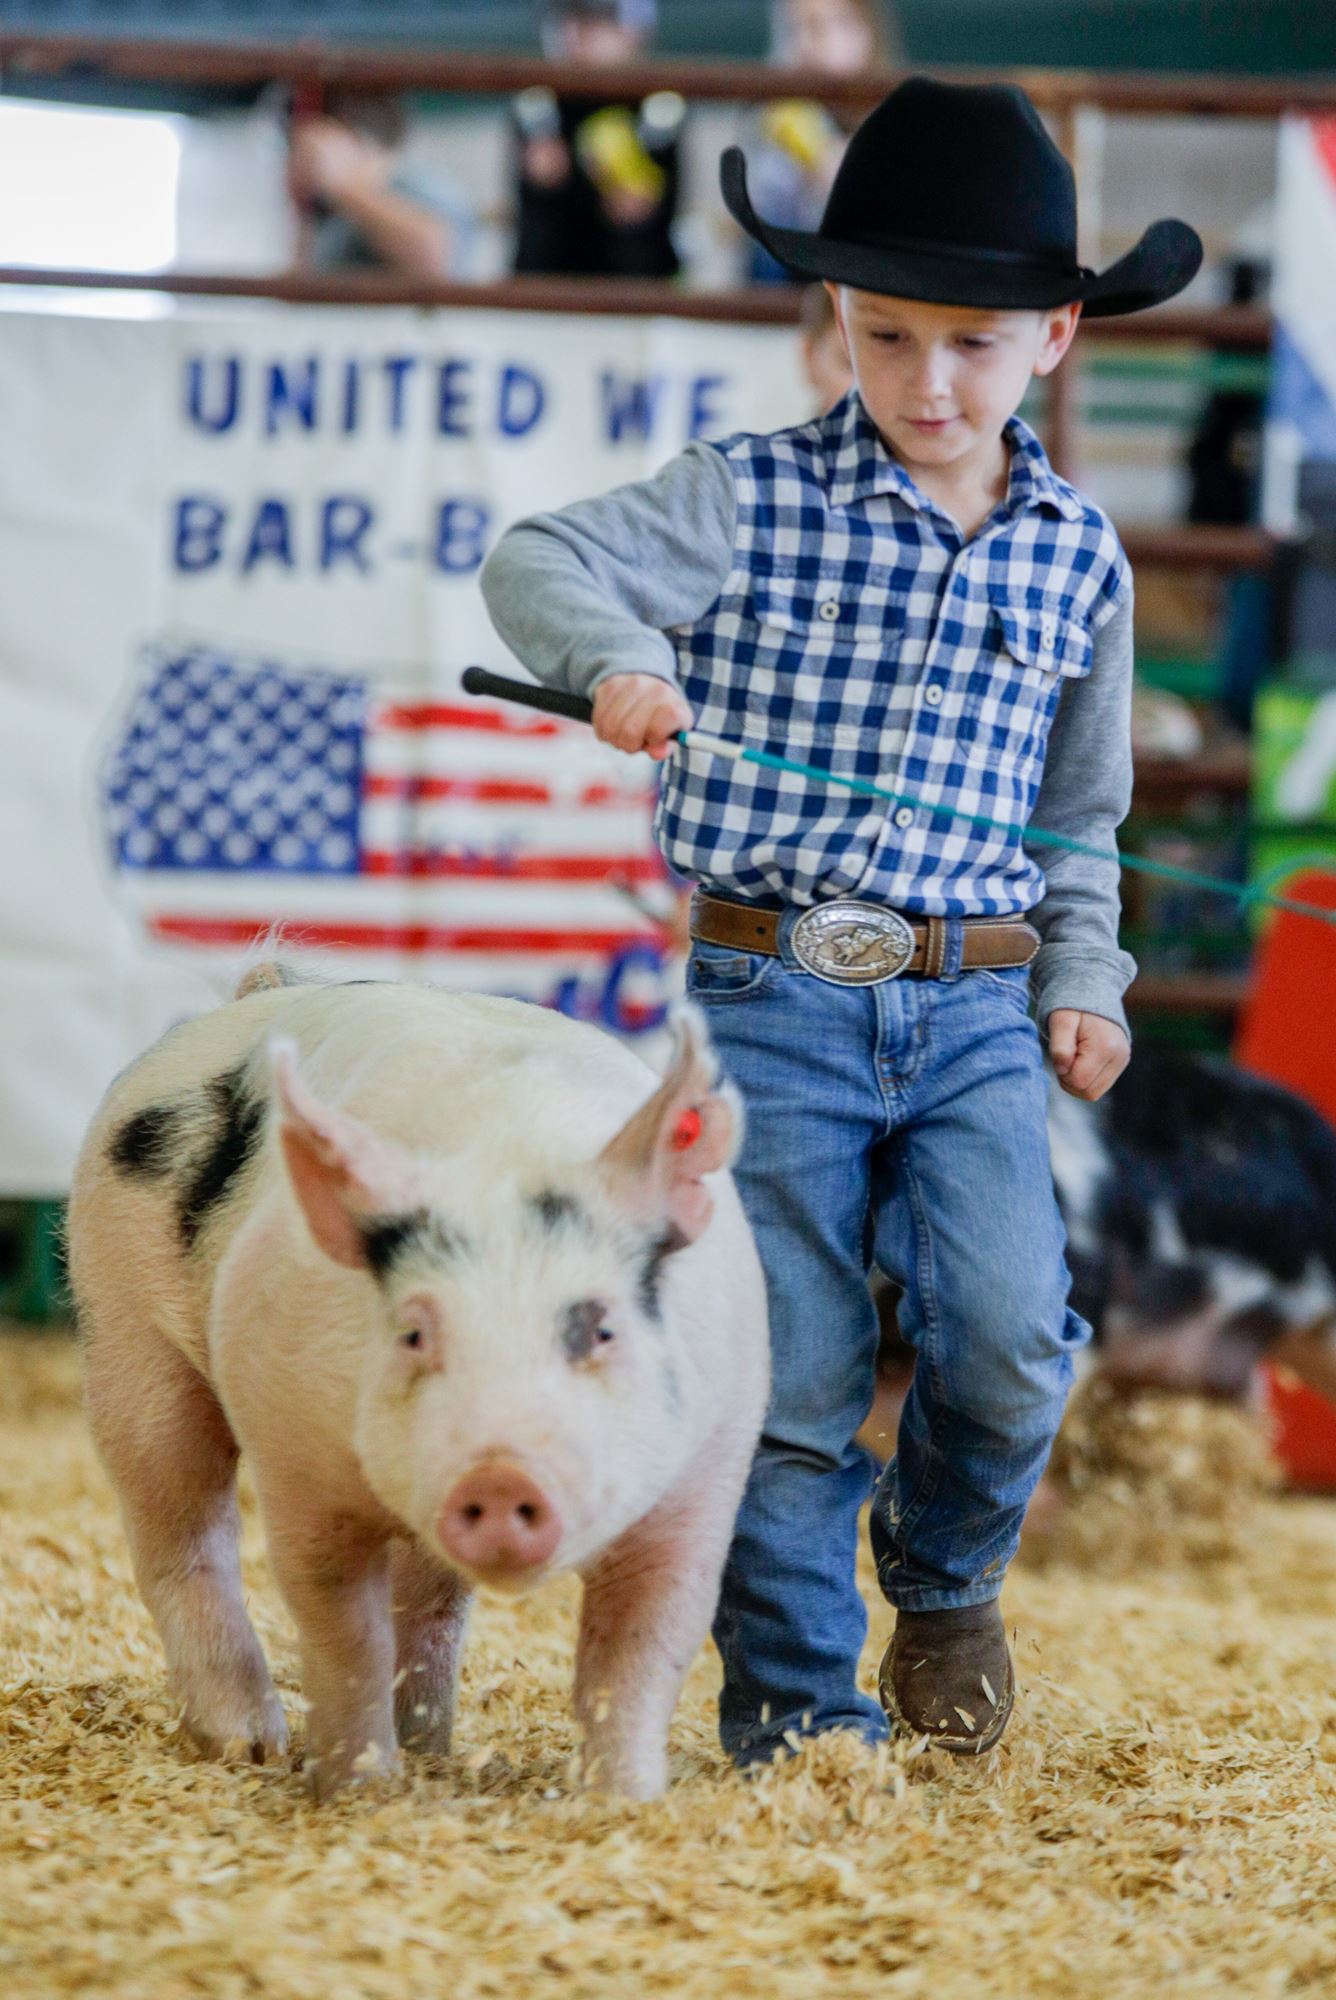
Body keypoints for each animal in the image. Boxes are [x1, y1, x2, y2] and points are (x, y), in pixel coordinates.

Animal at [65, 976, 772, 1808]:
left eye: (600, 1329)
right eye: (413, 1333)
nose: (500, 1475)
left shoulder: (706, 1471)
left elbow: (639, 1645)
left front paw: (622, 1801)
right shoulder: (298, 1463)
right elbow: (342, 1632)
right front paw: (357, 1789)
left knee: (429, 1597)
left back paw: (428, 1743)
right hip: (124, 1328)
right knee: (180, 1532)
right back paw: (249, 1746)